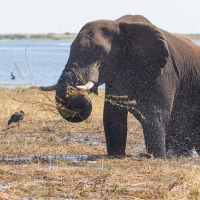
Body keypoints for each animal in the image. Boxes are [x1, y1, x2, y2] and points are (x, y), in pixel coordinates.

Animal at [55, 14, 200, 158]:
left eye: (102, 53)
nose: (76, 104)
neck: (119, 25)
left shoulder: (164, 70)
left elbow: (155, 114)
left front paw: (158, 158)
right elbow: (112, 114)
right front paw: (116, 156)